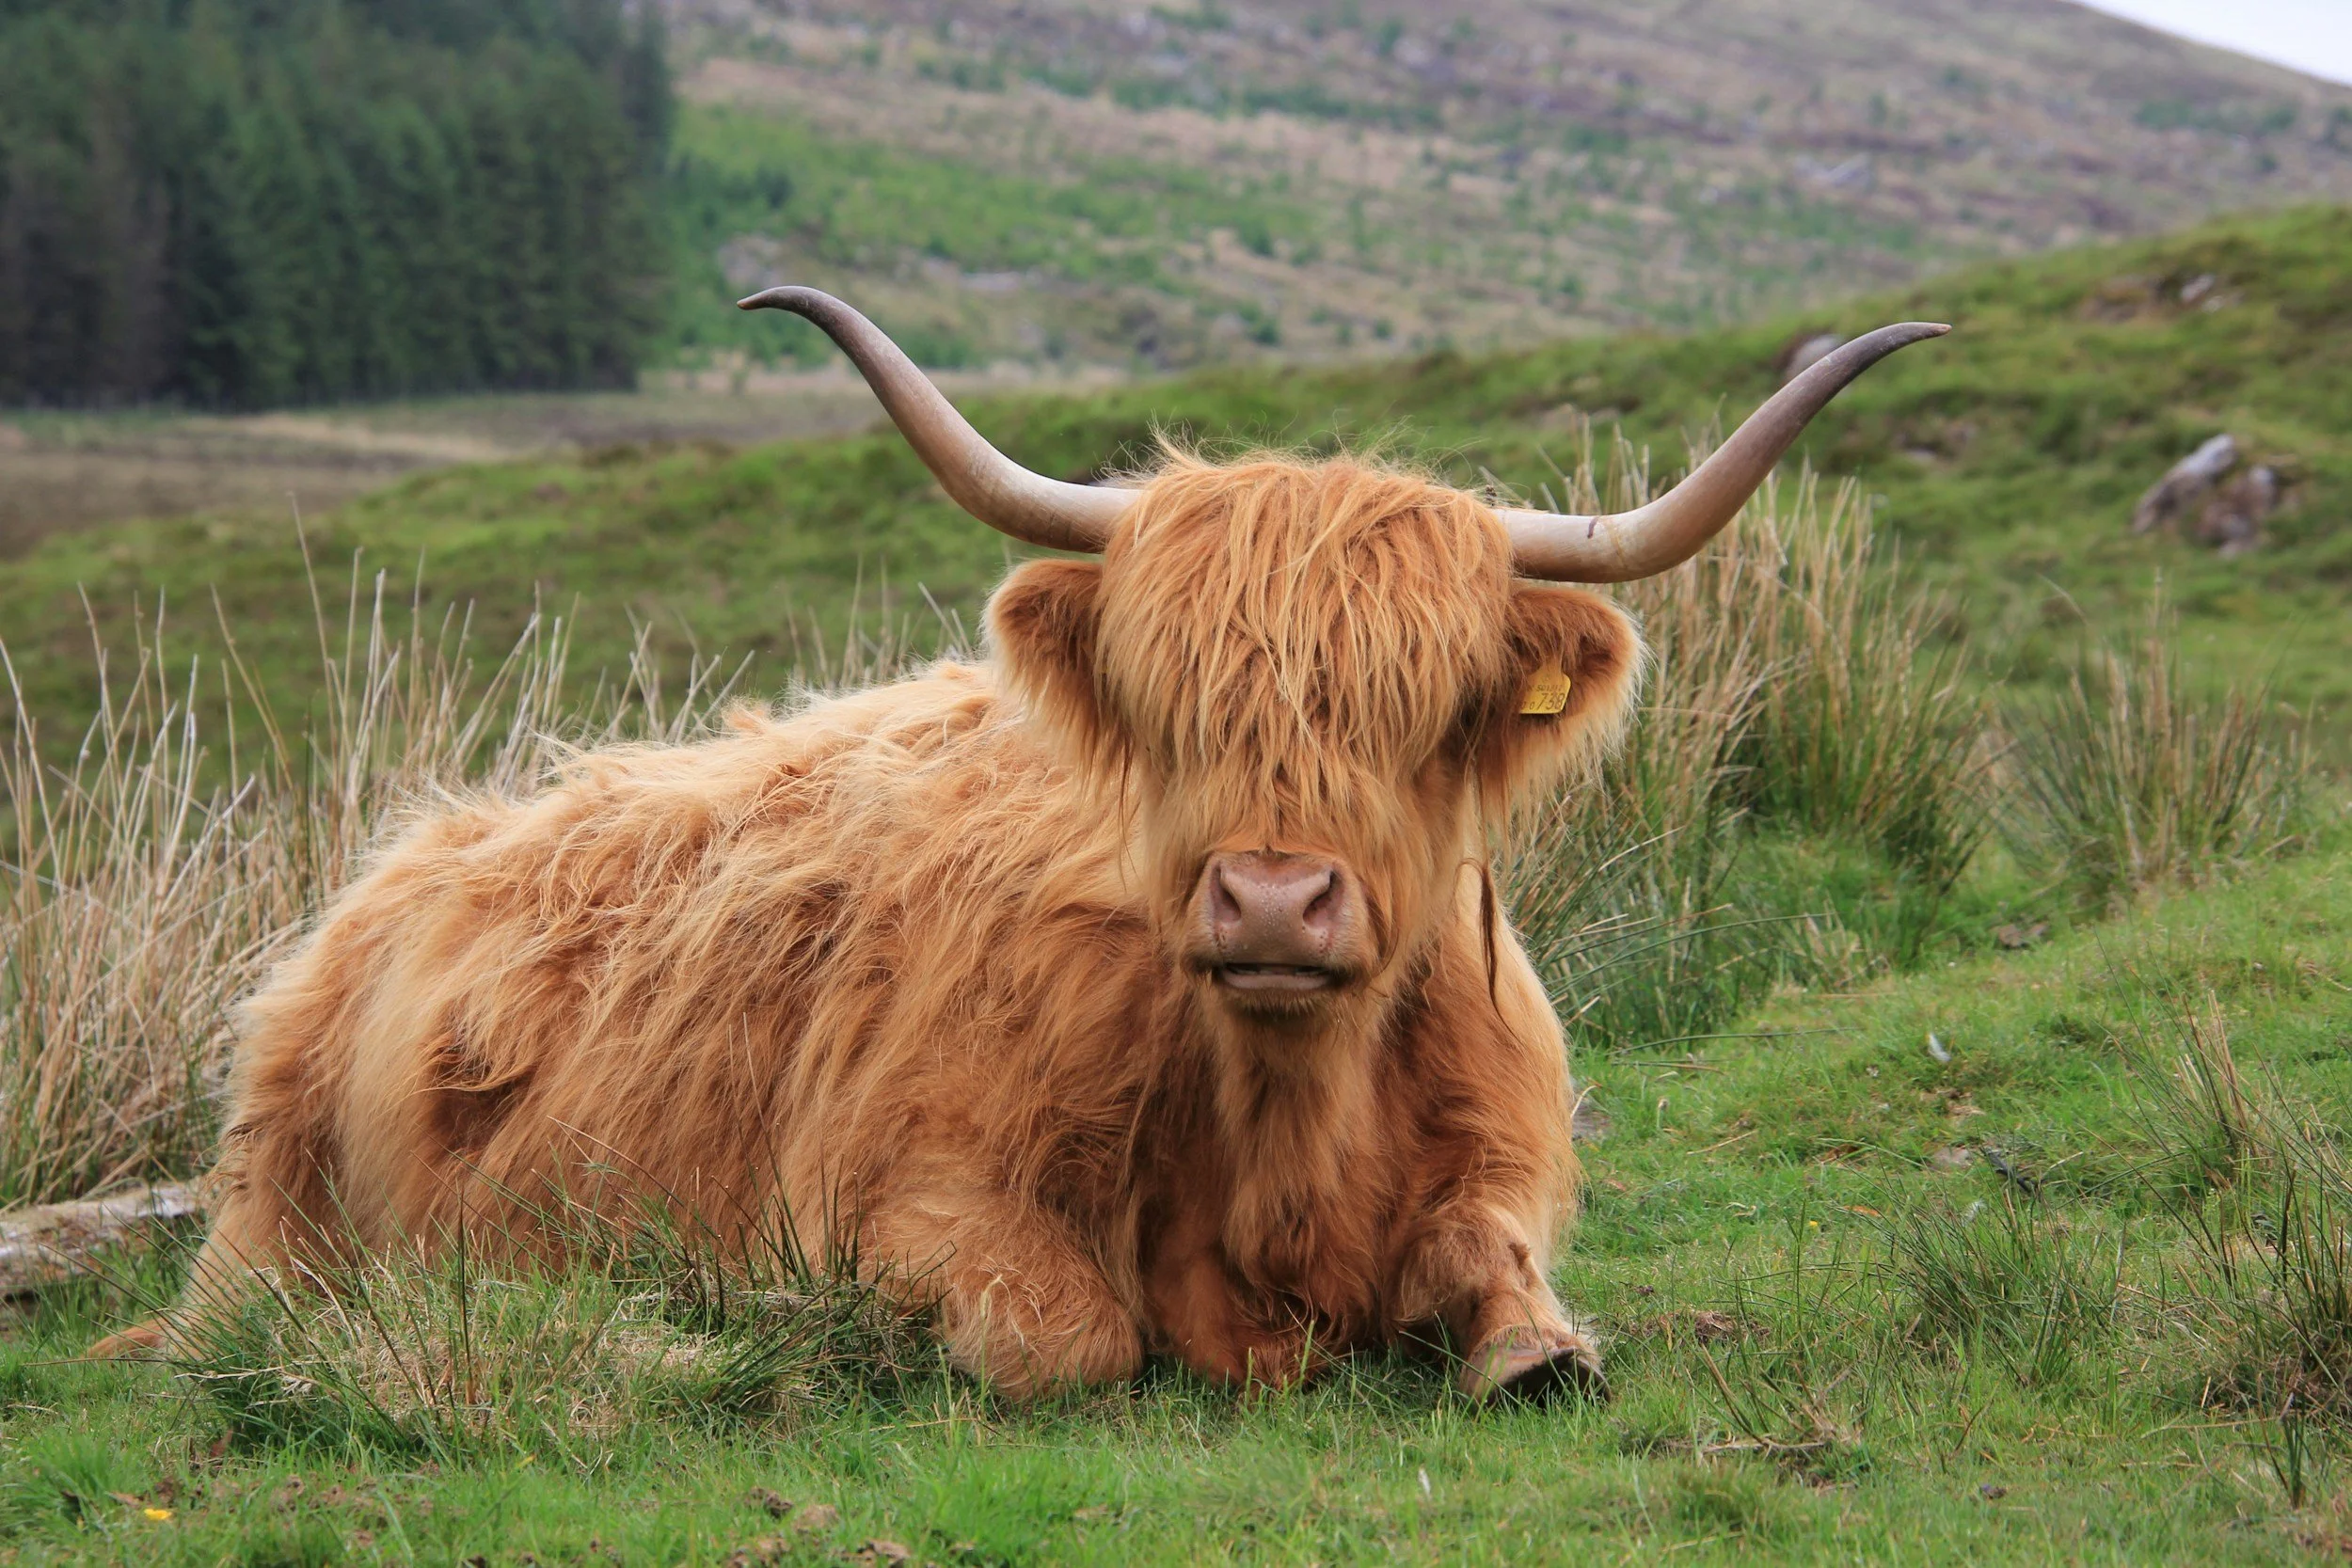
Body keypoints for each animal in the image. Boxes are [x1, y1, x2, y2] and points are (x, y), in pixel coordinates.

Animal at [96, 292, 1942, 1401]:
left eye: (1421, 707)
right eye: (1170, 700)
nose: (1275, 897)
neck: (1284, 1126)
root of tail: (425, 846)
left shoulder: (1504, 1163)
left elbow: (1522, 1316)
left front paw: (1523, 1346)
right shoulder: (914, 1183)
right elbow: (1070, 1337)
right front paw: (792, 1322)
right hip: (278, 1225)